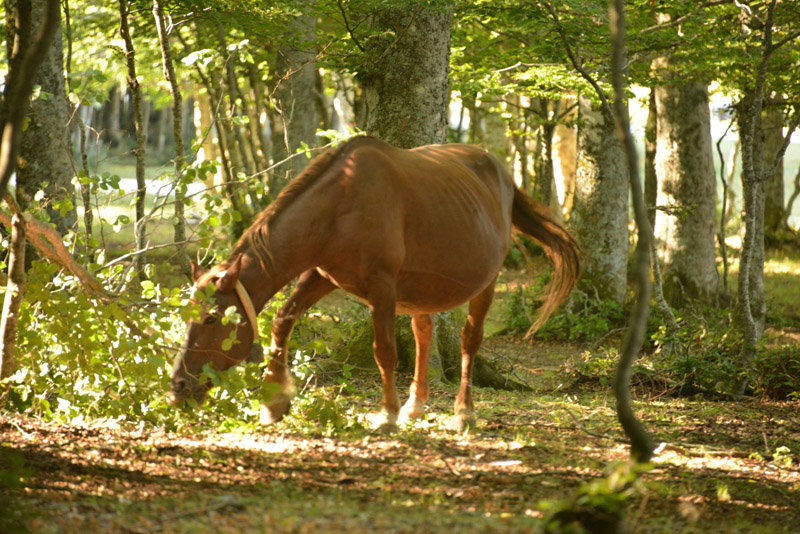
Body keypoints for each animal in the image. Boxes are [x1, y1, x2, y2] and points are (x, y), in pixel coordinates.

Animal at [170, 136, 580, 434]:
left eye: (211, 319)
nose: (178, 386)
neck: (340, 205)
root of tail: (501, 172)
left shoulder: (382, 287)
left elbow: (384, 350)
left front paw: (386, 414)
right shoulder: (319, 276)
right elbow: (282, 321)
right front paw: (274, 401)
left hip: (487, 283)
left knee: (469, 340)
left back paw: (463, 412)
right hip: (423, 291)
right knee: (423, 331)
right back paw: (417, 404)